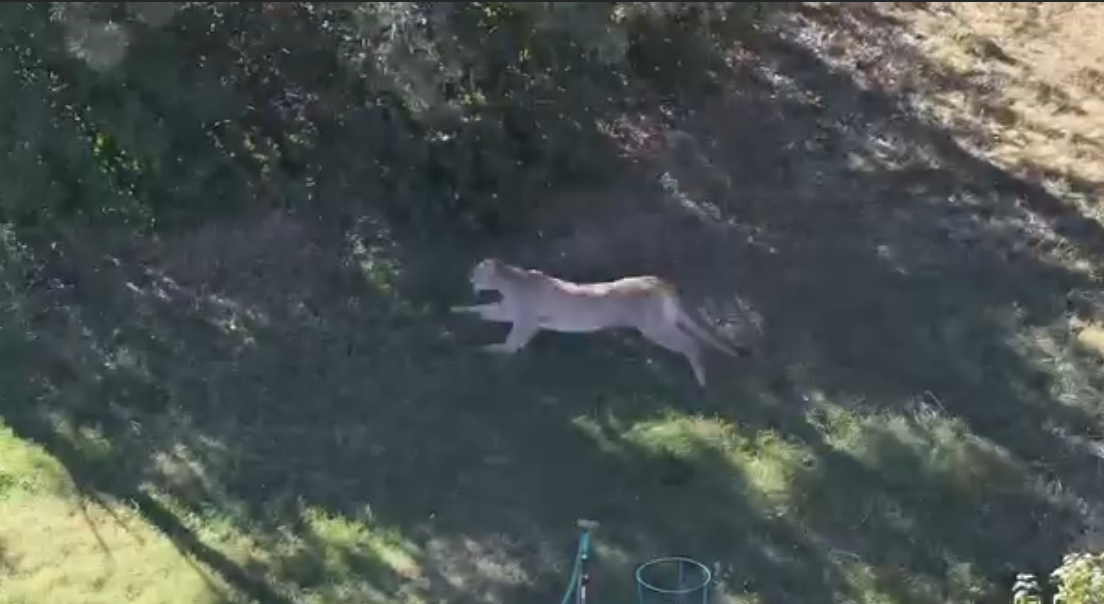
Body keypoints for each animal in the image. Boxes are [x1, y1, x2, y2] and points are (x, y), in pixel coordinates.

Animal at [451, 258, 750, 386]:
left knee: (691, 345)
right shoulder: (507, 311)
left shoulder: (526, 322)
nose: (467, 276)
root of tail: (657, 280)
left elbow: (510, 344)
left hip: (655, 329)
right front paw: (455, 310)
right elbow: (480, 311)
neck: (511, 282)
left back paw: (701, 378)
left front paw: (483, 350)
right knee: (697, 339)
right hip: (663, 324)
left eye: (476, 271)